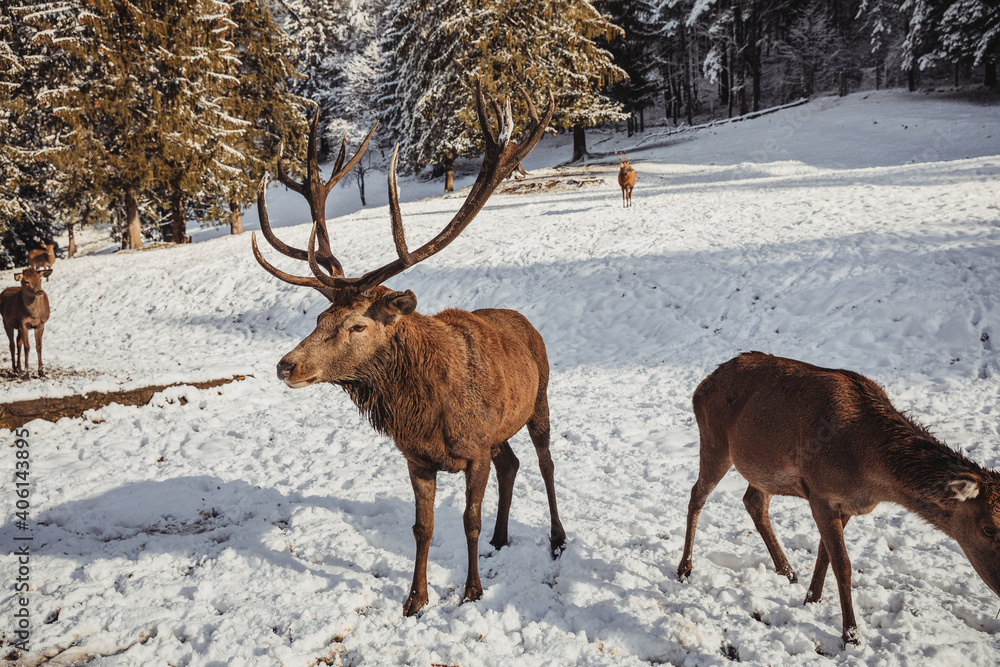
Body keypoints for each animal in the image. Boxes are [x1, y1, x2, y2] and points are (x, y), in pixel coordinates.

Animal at [251, 79, 566, 617]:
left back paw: (558, 537)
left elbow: (468, 521)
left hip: (539, 398)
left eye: (357, 325)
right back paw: (502, 537)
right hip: (500, 430)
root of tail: (524, 321)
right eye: (319, 318)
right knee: (512, 463)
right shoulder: (417, 457)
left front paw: (471, 590)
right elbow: (423, 528)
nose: (286, 366)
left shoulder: (473, 452)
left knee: (545, 464)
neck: (428, 412)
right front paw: (415, 599)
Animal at [677, 352, 1000, 646]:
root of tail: (703, 383)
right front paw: (851, 635)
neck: (868, 472)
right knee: (697, 494)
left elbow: (825, 555)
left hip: (761, 468)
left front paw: (811, 599)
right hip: (715, 441)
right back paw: (684, 569)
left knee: (754, 501)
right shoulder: (821, 494)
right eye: (989, 528)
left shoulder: (845, 505)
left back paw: (787, 571)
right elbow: (842, 564)